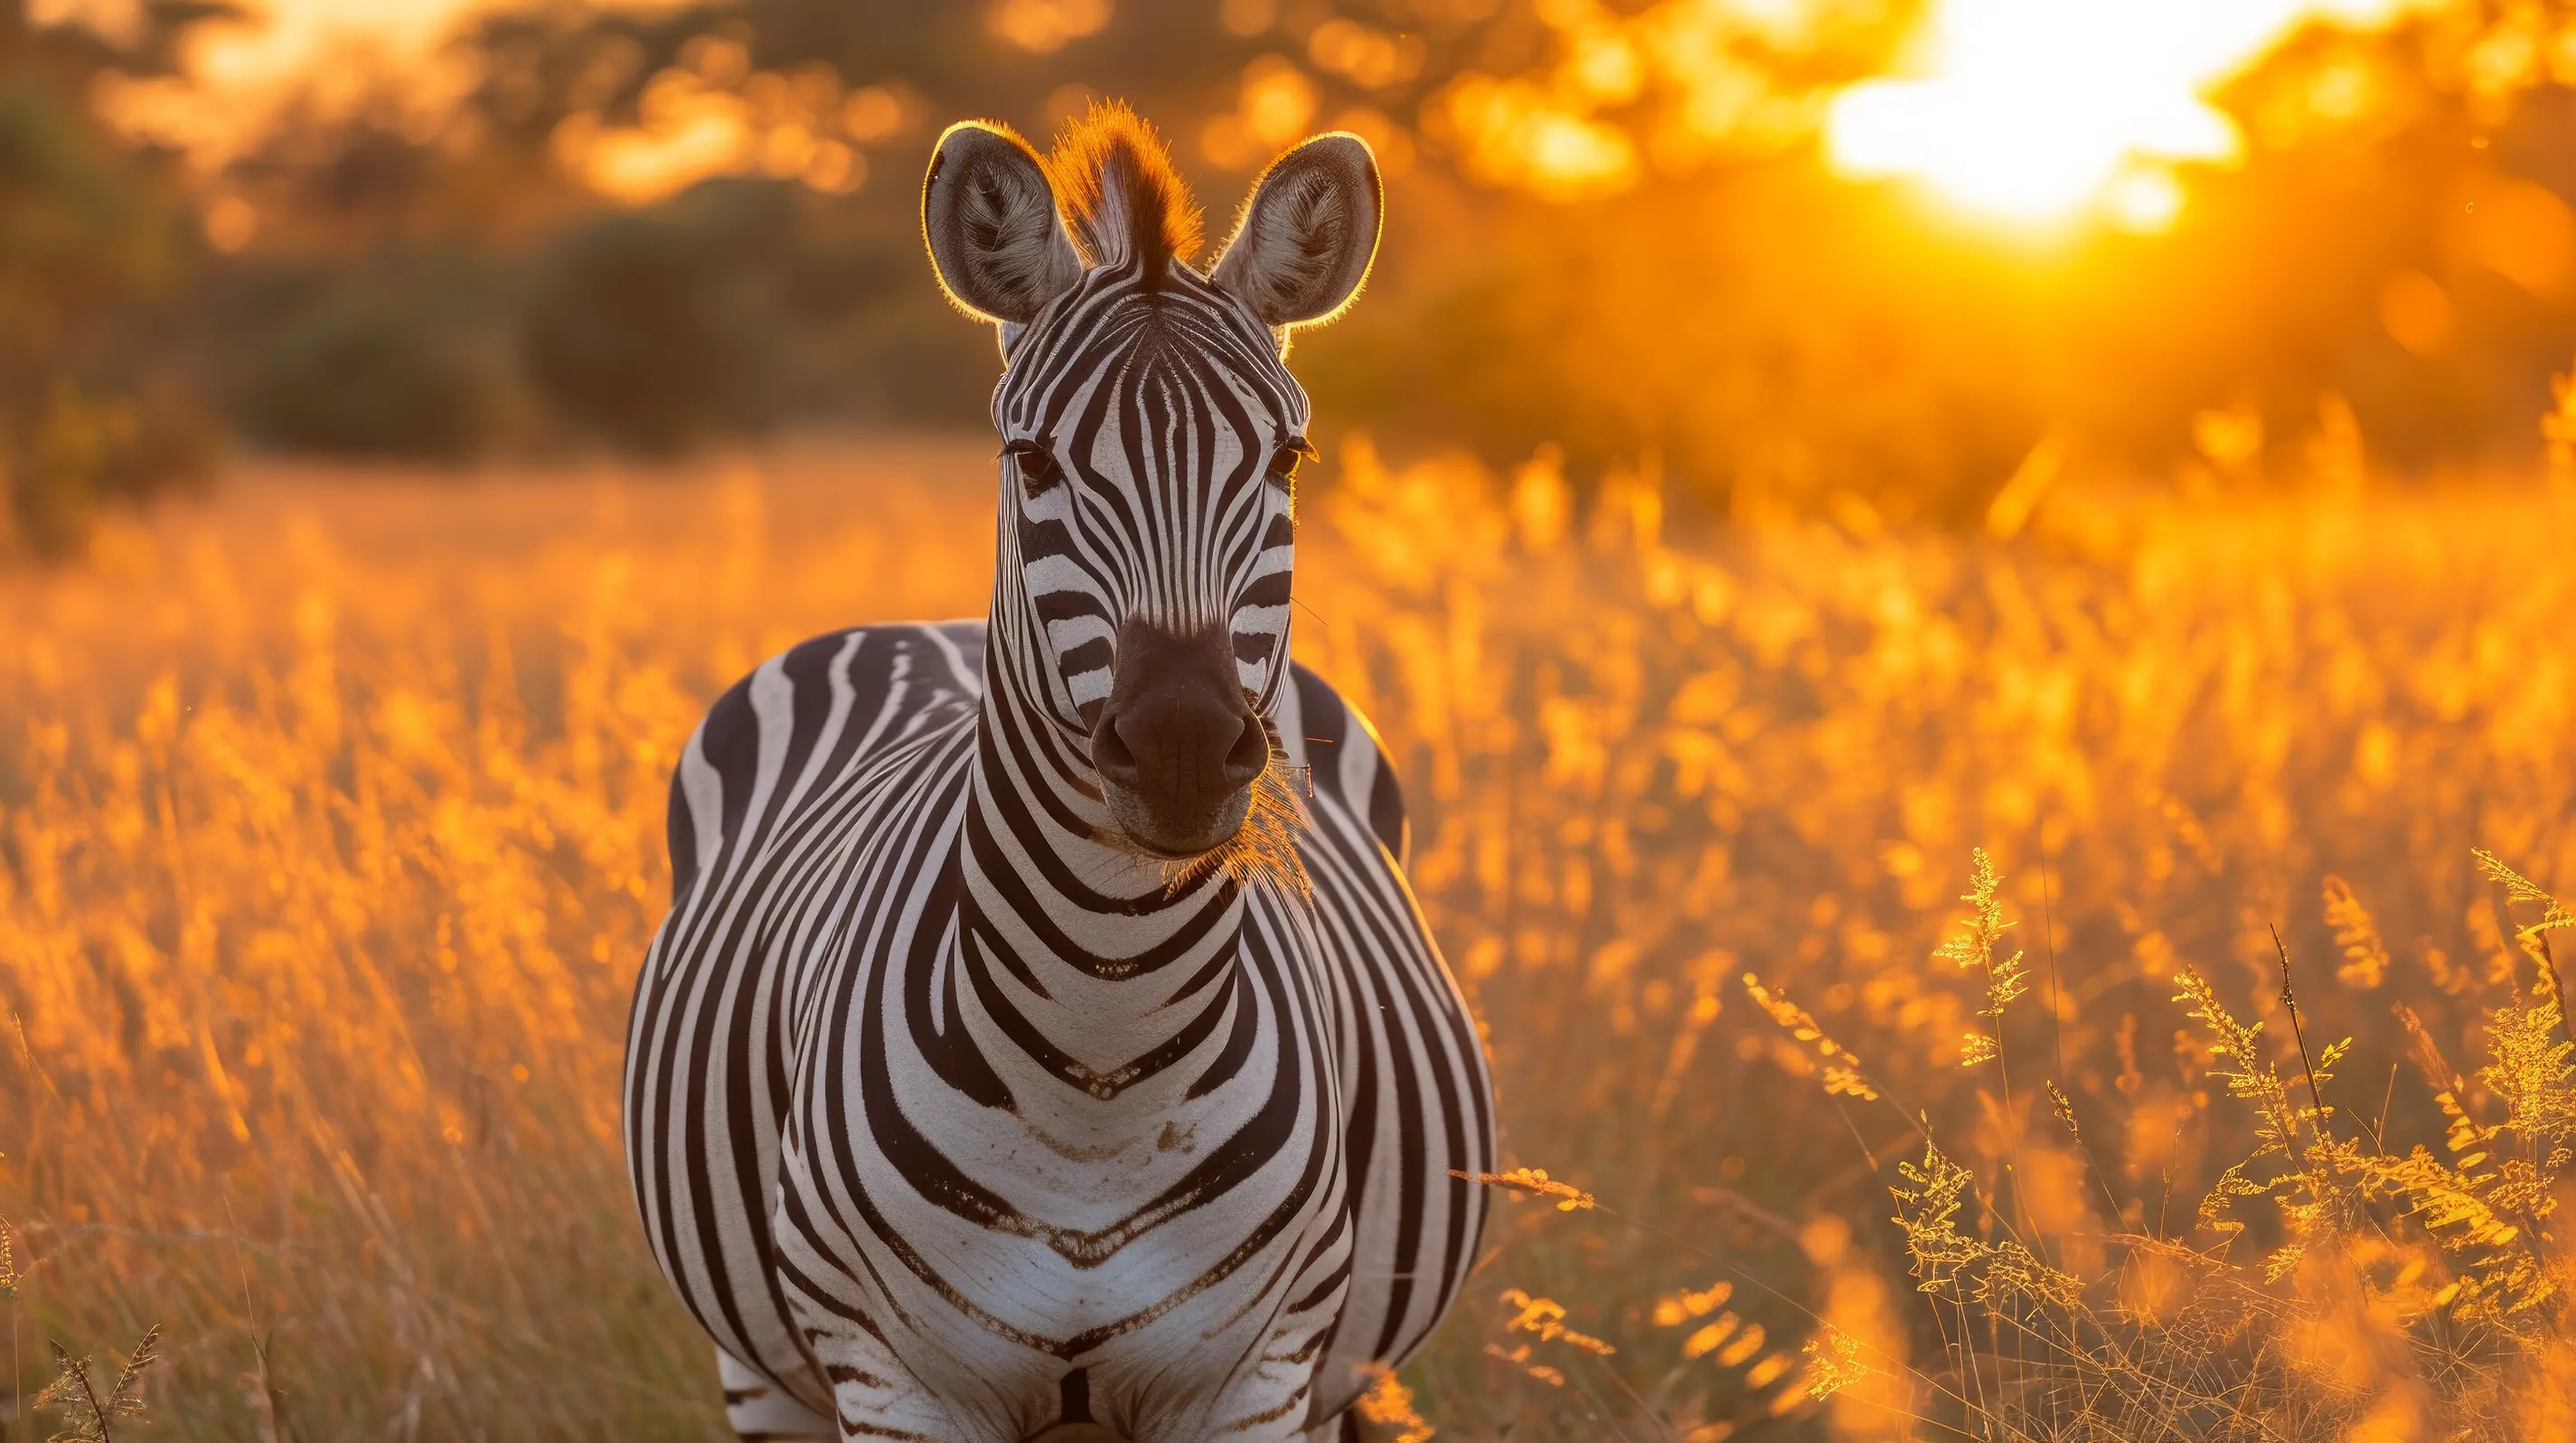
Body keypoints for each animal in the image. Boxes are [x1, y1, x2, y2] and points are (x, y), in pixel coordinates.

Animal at [624, 103, 1494, 1443]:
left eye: (1289, 460)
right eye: (1030, 461)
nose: (1182, 746)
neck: (1101, 1067)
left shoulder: (1255, 1379)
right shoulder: (894, 1382)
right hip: (759, 1370)